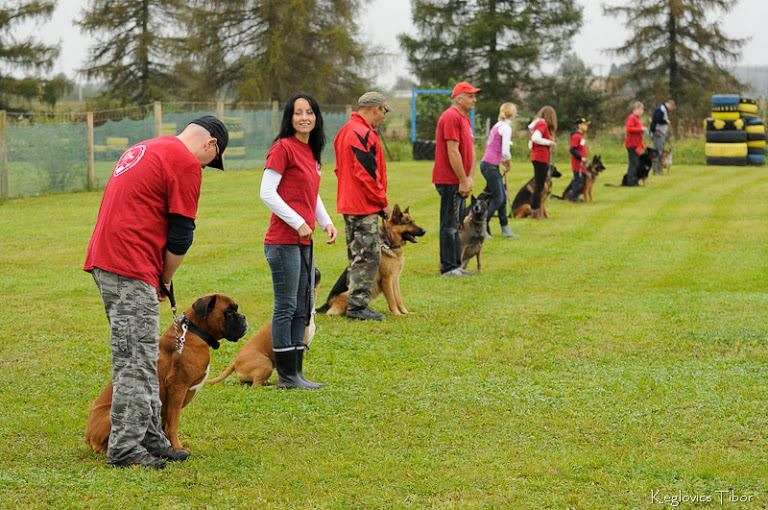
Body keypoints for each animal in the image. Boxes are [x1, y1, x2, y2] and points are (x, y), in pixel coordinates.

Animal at [84, 292, 248, 452]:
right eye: (228, 312)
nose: (243, 317)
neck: (194, 331)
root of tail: (89, 437)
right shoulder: (177, 389)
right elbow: (173, 423)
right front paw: (177, 447)